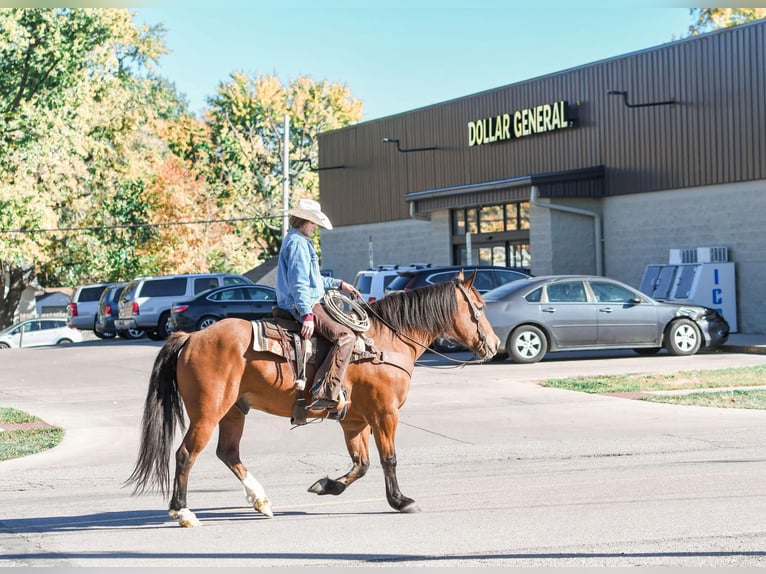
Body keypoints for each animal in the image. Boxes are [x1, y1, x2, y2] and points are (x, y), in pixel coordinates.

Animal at [126, 272, 500, 528]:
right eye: (480, 307)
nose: (494, 345)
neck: (385, 342)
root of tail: (191, 337)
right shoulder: (385, 413)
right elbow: (388, 459)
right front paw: (400, 500)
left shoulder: (355, 420)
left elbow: (361, 464)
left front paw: (325, 486)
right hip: (208, 412)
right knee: (186, 453)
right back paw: (183, 512)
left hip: (234, 411)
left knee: (228, 453)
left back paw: (261, 501)